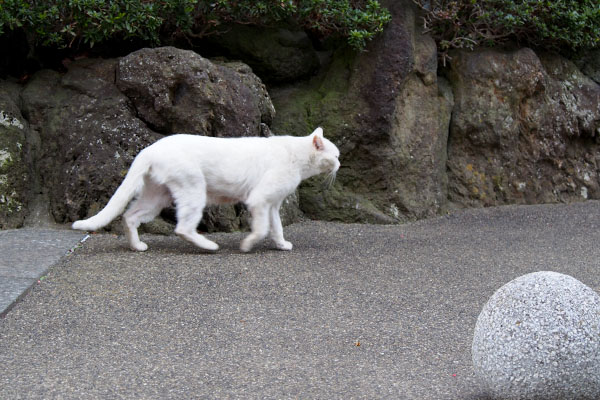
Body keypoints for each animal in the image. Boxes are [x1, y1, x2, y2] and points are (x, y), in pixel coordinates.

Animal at [71, 128, 338, 252]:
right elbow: (262, 228)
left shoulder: (271, 204)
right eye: (335, 156)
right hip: (193, 189)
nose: (340, 163)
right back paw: (209, 246)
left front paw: (281, 245)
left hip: (157, 197)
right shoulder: (259, 199)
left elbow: (277, 227)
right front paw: (248, 244)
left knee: (129, 216)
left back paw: (137, 246)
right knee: (182, 228)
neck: (298, 158)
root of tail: (151, 148)